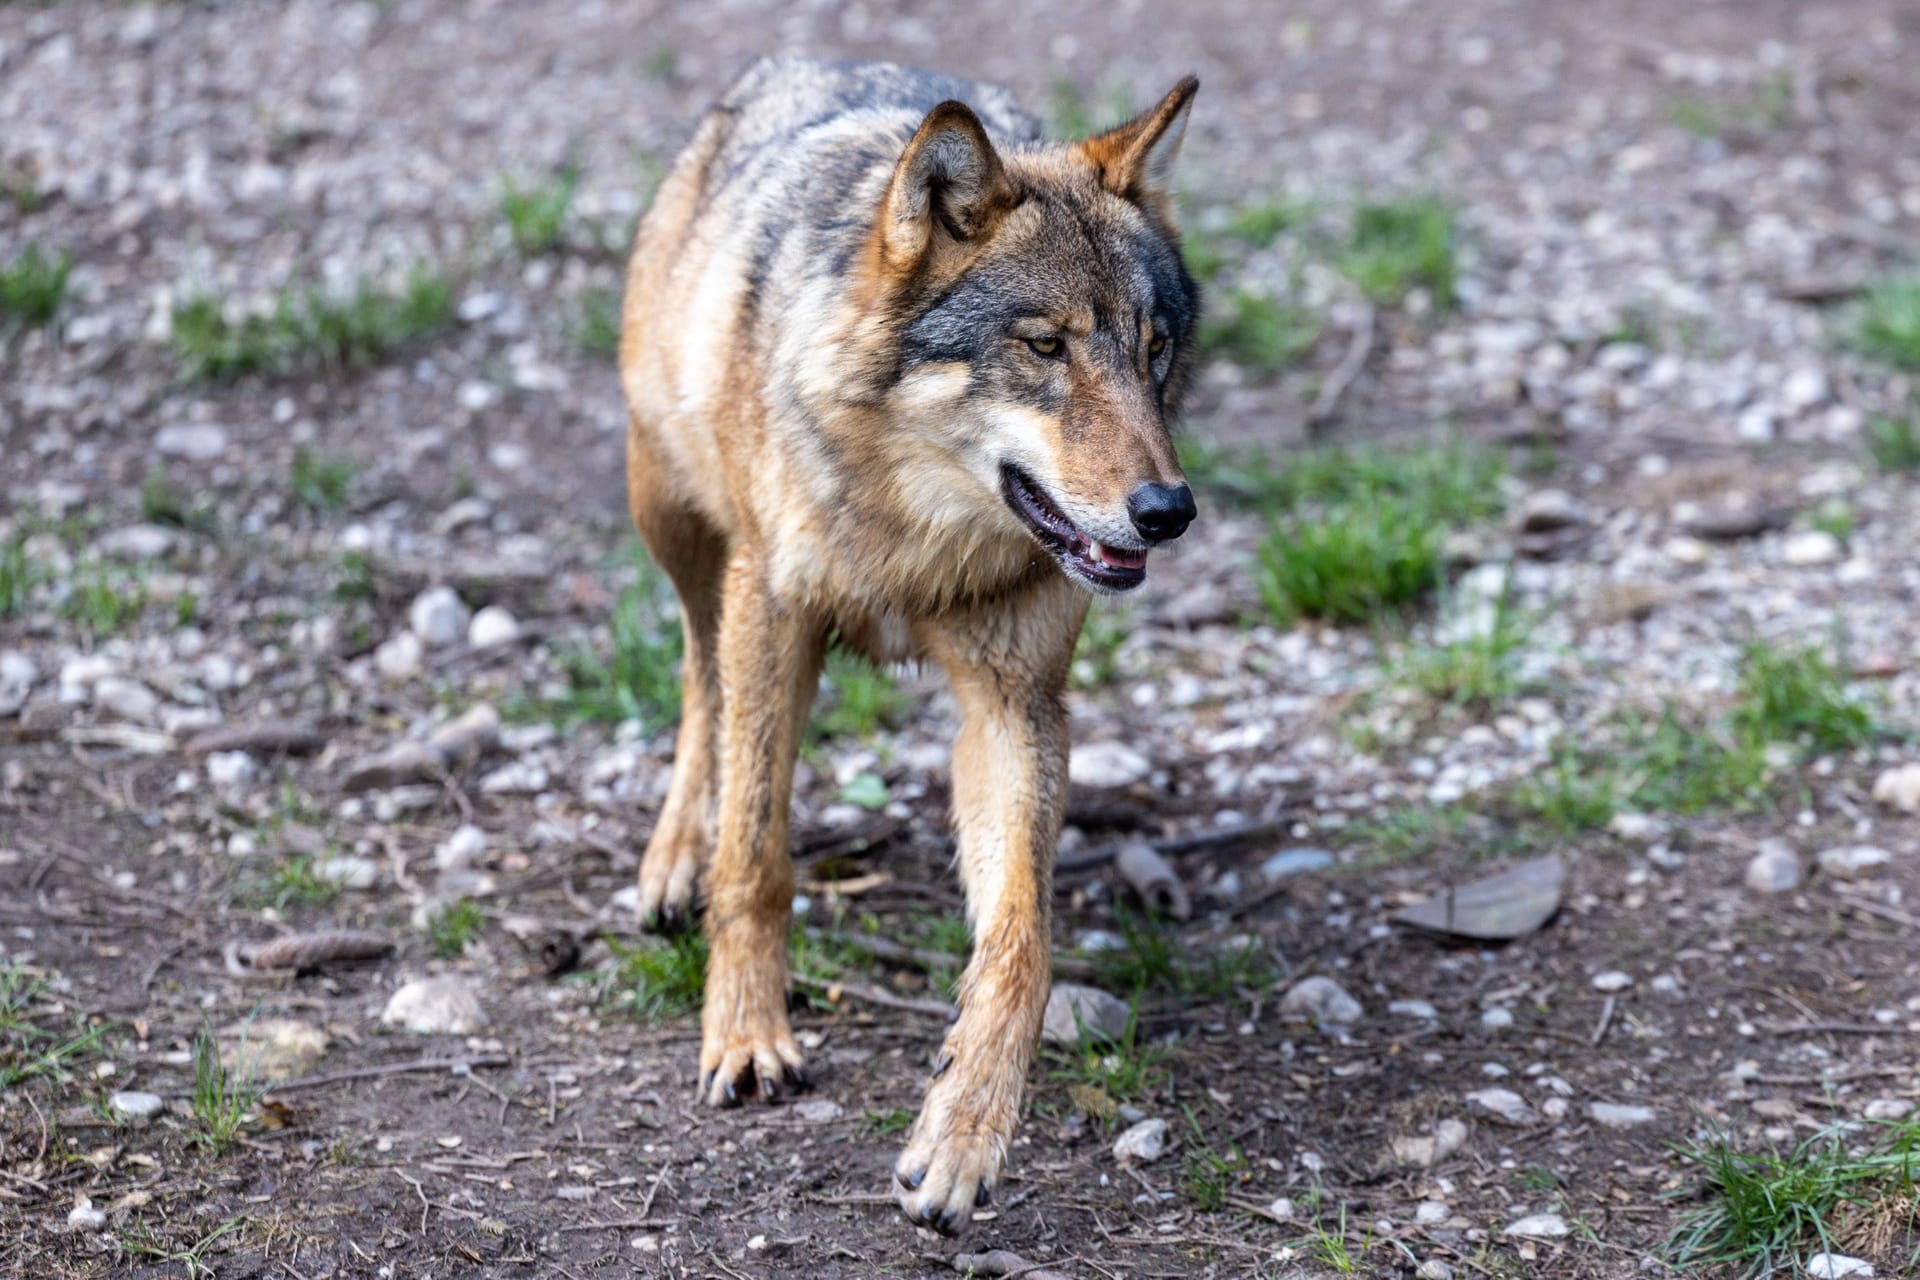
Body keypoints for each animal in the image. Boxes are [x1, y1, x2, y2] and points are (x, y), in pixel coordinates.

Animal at [618, 57, 1198, 1228]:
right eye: (1044, 345)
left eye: (1154, 350)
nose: (1168, 511)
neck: (918, 540)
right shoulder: (771, 613)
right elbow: (757, 856)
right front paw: (747, 1036)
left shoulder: (1015, 703)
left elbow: (1020, 943)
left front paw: (964, 1133)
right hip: (679, 525)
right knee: (699, 682)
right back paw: (673, 862)